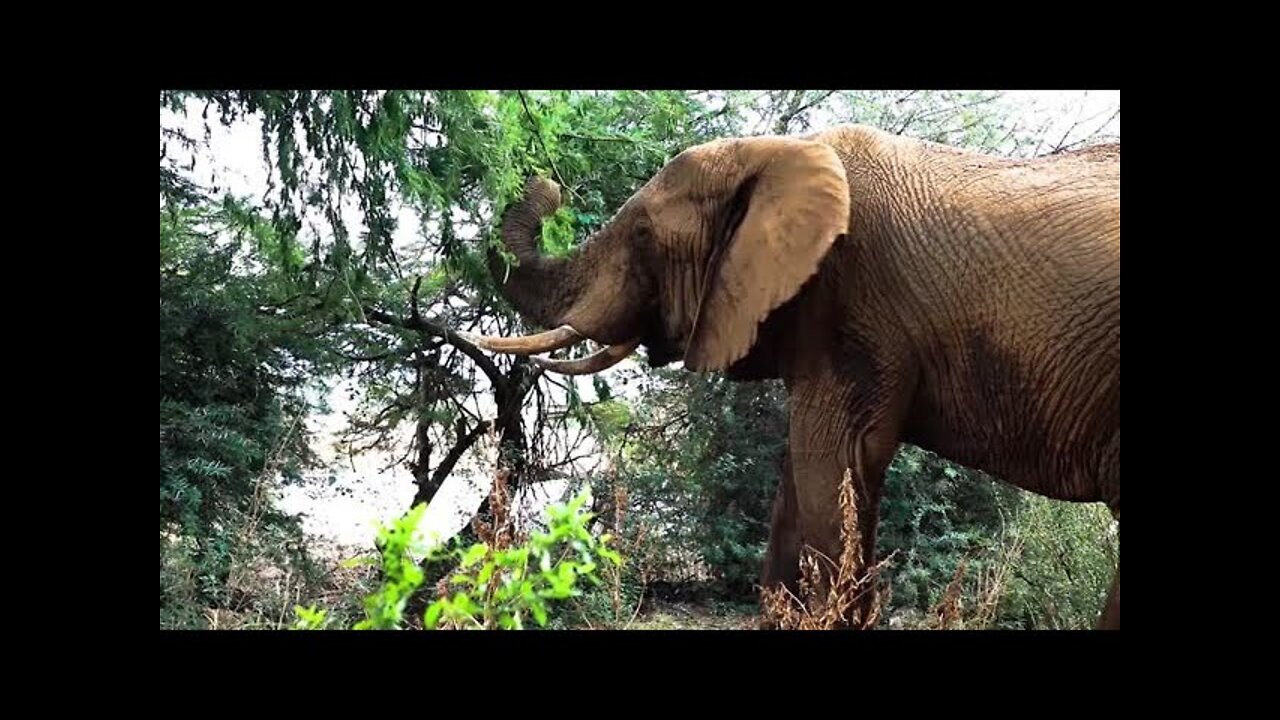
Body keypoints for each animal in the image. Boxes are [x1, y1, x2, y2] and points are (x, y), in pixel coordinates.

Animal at [463, 122, 1121, 627]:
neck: (775, 152)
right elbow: (796, 483)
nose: (548, 185)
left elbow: (830, 466)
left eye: (645, 234)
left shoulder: (851, 306)